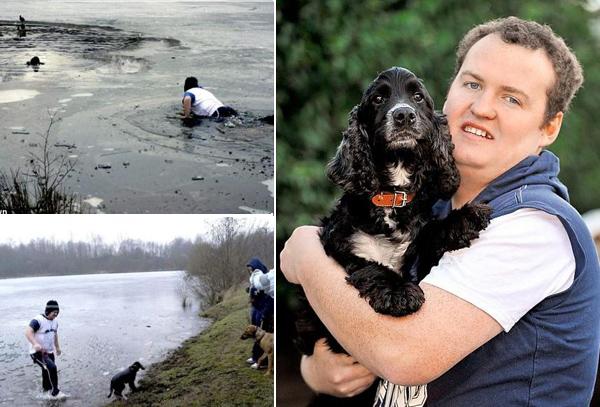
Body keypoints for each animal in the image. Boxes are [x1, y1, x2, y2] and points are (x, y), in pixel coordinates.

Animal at [292, 67, 490, 360]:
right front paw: (399, 294)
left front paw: (466, 217)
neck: (392, 197)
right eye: (378, 99)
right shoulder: (342, 246)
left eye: (418, 97)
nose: (403, 115)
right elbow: (370, 266)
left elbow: (430, 233)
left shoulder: (417, 251)